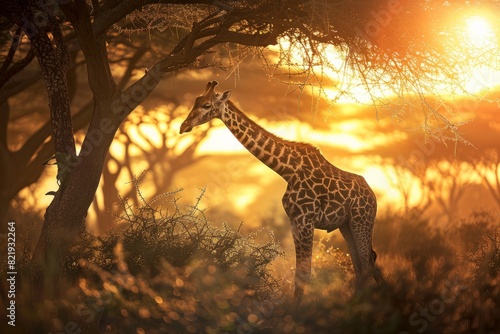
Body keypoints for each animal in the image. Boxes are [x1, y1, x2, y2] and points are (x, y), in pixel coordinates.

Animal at [180, 81, 382, 300]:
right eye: (195, 101)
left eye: (207, 105)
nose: (183, 126)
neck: (288, 170)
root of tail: (373, 196)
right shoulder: (294, 221)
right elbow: (299, 274)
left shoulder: (306, 220)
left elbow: (305, 274)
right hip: (346, 225)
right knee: (362, 266)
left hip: (361, 221)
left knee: (367, 265)